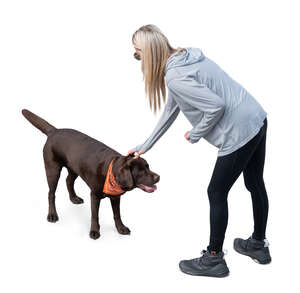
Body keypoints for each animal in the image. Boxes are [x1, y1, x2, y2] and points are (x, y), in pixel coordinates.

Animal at [21, 108, 159, 238]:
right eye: (141, 172)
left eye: (148, 167)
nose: (158, 177)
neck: (111, 171)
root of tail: (54, 131)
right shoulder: (94, 195)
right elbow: (94, 215)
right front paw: (94, 231)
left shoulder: (115, 197)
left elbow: (117, 214)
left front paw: (121, 228)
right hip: (52, 170)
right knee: (51, 193)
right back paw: (52, 215)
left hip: (74, 167)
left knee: (68, 181)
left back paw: (74, 198)